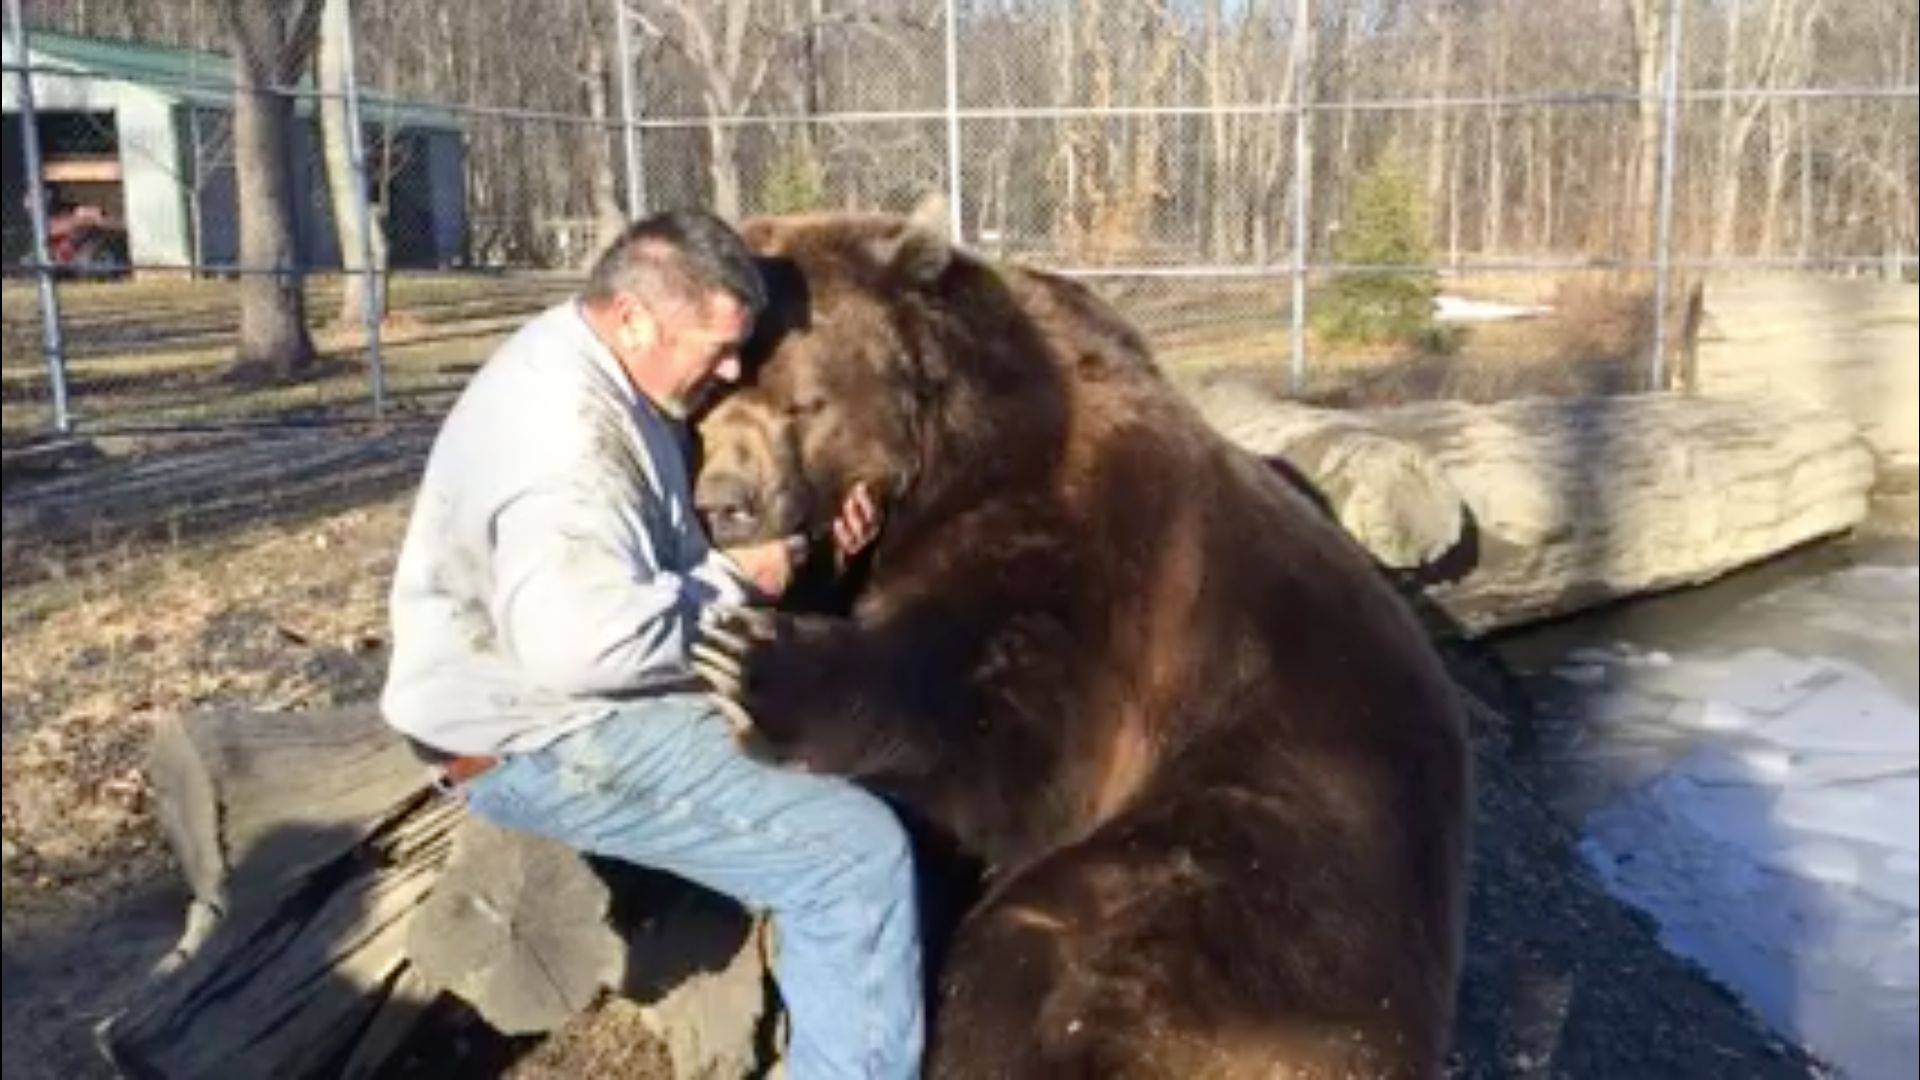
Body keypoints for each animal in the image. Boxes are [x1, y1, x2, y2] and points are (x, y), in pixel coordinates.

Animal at [695, 203, 1466, 1076]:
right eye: (709, 402)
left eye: (802, 402)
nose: (726, 503)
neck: (960, 455)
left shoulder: (1095, 565)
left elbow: (1013, 736)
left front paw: (752, 662)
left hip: (1259, 871)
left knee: (1047, 946)